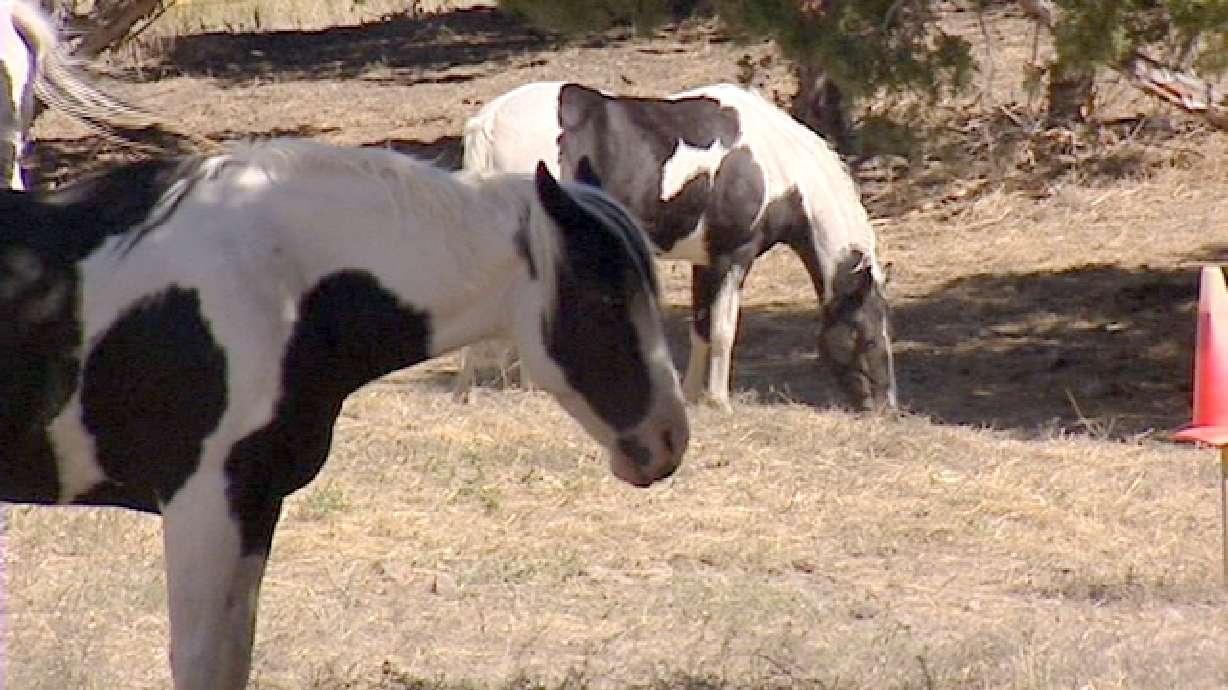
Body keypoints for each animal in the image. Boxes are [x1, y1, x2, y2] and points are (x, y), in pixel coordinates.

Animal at [457, 81, 897, 411]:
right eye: (867, 335)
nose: (885, 406)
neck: (773, 163)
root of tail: (491, 118)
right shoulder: (733, 257)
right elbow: (723, 329)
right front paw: (719, 401)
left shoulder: (706, 261)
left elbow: (701, 326)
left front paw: (690, 395)